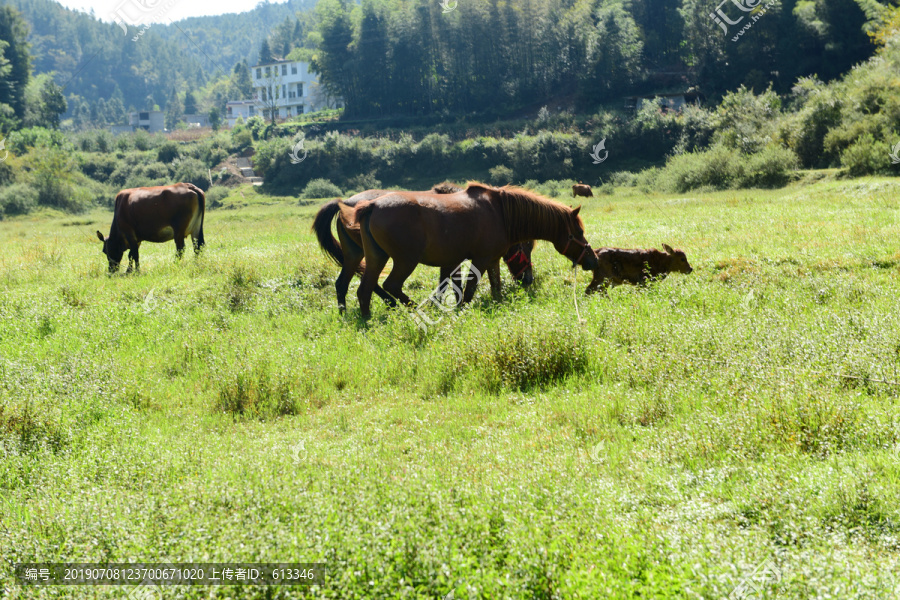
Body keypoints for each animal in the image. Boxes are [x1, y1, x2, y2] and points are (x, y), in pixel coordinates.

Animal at [313, 185, 535, 312]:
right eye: (523, 250)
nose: (529, 279)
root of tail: (346, 203)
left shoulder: (451, 258)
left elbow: (448, 282)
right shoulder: (455, 258)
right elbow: (450, 283)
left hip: (356, 253)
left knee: (345, 283)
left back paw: (347, 311)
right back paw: (392, 304)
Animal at [339, 182, 598, 318]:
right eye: (578, 232)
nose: (593, 260)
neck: (500, 213)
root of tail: (372, 205)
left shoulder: (491, 261)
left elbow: (495, 288)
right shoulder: (479, 260)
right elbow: (469, 291)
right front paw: (460, 312)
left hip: (376, 258)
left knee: (364, 289)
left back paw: (367, 319)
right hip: (405, 261)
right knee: (390, 286)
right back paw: (416, 310)